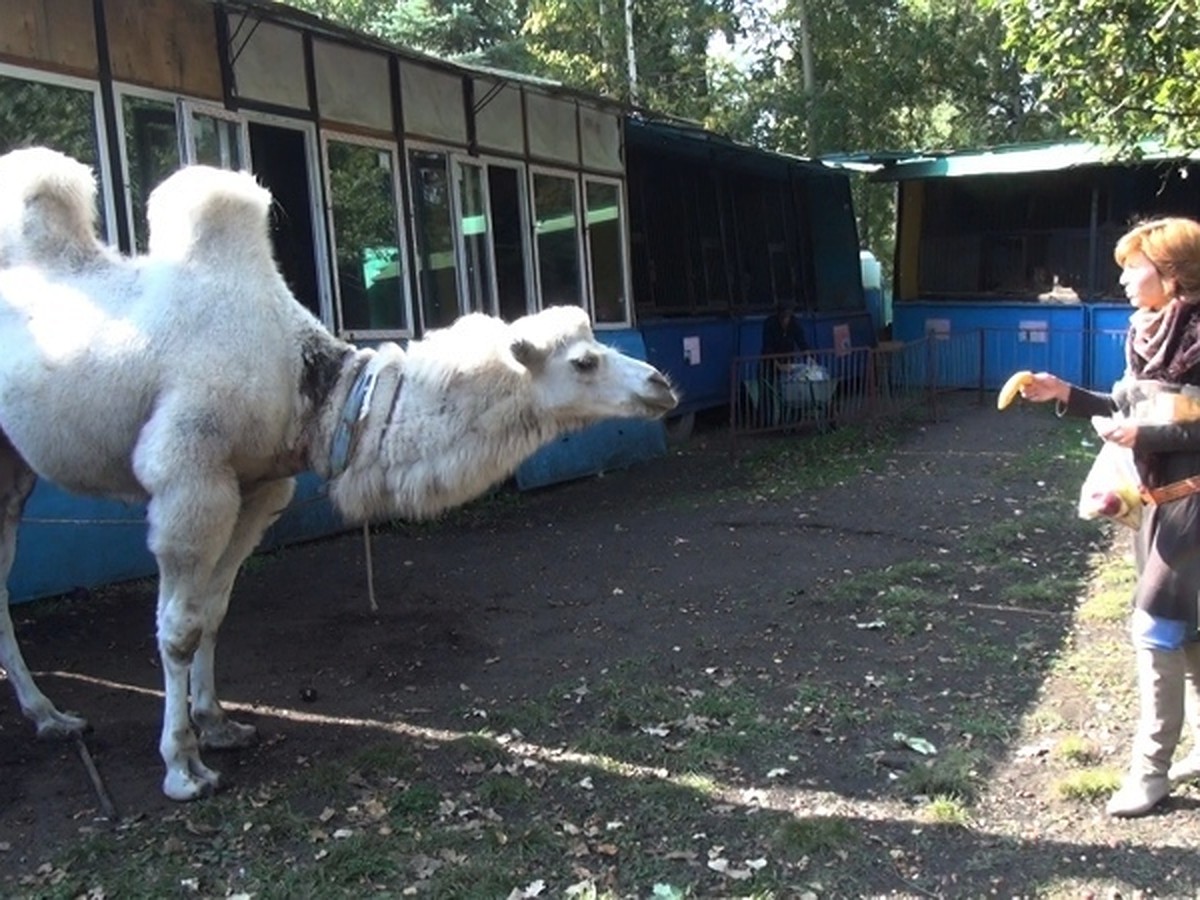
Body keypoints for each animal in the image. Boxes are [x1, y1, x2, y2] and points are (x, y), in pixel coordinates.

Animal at [0, 148, 676, 801]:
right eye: (584, 361)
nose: (660, 384)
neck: (317, 390)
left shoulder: (259, 485)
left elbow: (214, 612)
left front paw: (218, 725)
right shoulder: (191, 477)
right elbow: (180, 628)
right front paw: (183, 766)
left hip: (15, 466)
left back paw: (50, 716)